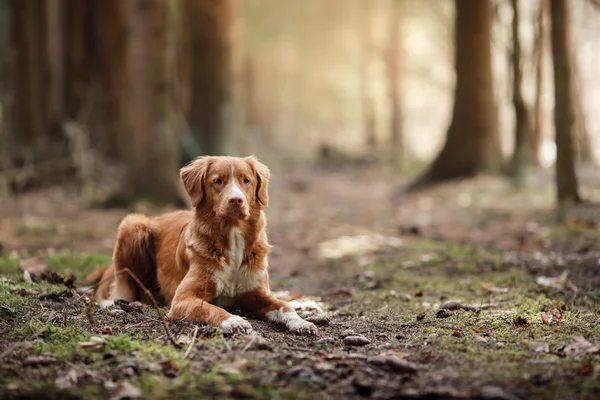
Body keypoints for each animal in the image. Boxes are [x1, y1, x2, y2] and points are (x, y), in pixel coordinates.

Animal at [92, 156, 318, 334]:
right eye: (218, 181)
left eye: (246, 180)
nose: (236, 200)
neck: (233, 238)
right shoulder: (182, 299)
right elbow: (208, 307)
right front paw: (233, 320)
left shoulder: (256, 294)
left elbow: (285, 306)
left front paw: (301, 322)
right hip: (133, 223)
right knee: (122, 287)